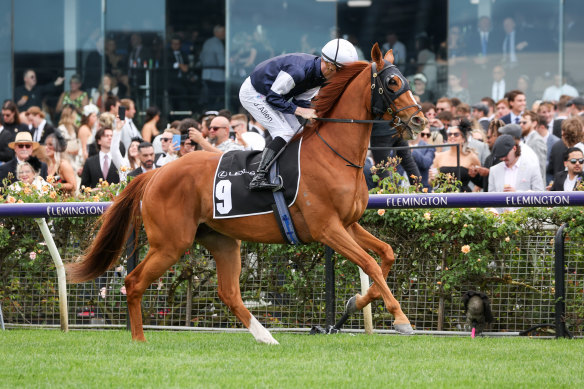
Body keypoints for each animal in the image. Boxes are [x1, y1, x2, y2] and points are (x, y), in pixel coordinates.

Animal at [66, 44, 426, 342]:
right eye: (393, 82)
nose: (419, 119)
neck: (334, 152)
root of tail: (155, 173)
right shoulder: (327, 228)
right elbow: (370, 263)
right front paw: (401, 318)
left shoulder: (348, 224)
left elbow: (386, 255)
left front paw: (356, 302)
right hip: (170, 243)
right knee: (134, 282)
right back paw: (139, 341)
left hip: (222, 240)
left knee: (228, 293)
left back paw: (266, 337)